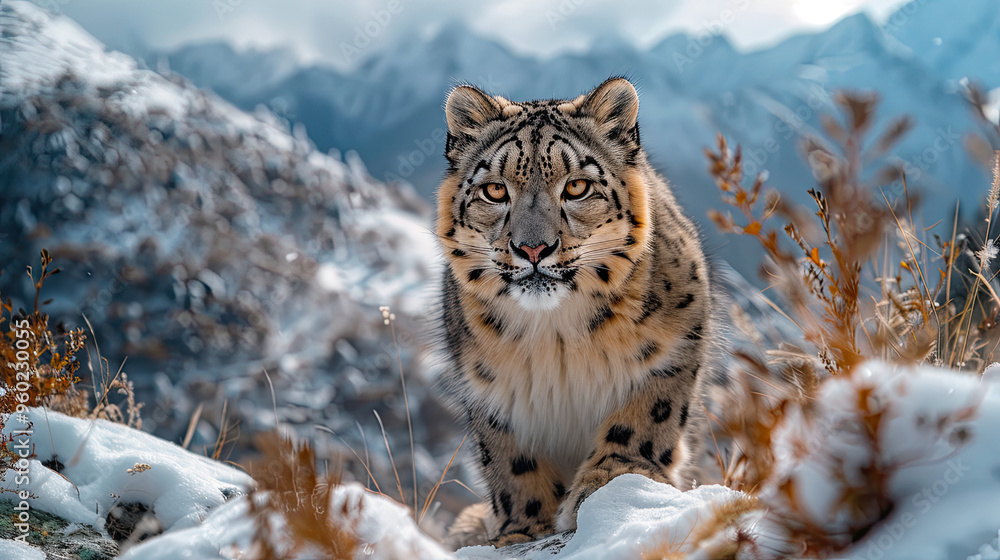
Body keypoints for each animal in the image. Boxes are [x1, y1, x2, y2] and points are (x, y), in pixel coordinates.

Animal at [434, 77, 712, 548]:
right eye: (495, 190)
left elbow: (641, 421)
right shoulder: (490, 390)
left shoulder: (674, 349)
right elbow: (512, 462)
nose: (532, 248)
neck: (557, 337)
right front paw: (522, 529)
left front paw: (605, 486)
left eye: (577, 187)